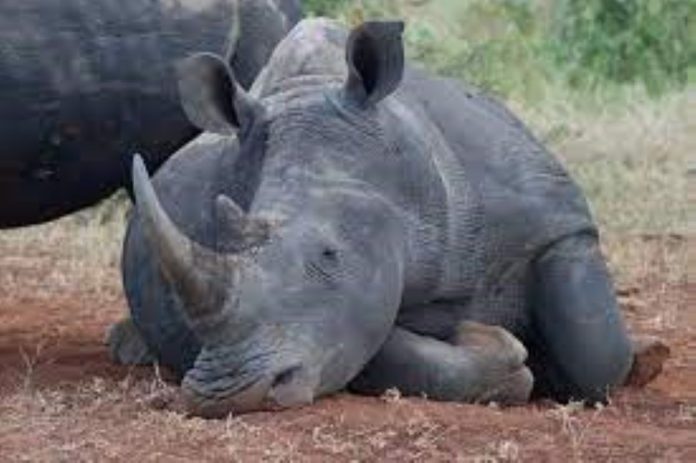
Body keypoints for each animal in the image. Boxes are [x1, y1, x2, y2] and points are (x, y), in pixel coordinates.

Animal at [112, 19, 635, 417]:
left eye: (329, 253)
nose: (223, 394)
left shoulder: (558, 222)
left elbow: (596, 353)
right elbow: (388, 350)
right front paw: (494, 347)